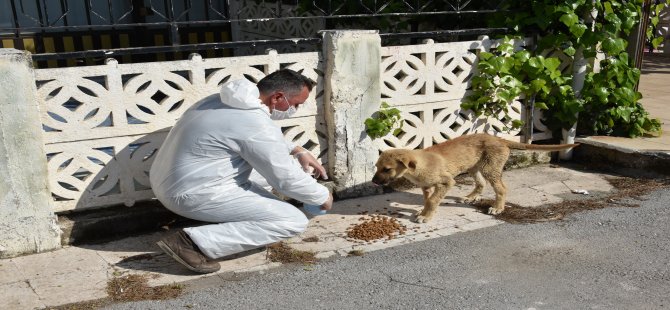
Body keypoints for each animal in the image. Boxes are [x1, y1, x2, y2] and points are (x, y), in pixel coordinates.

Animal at [372, 133, 576, 223]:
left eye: (387, 169)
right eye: (376, 167)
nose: (374, 182)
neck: (418, 167)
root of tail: (499, 139)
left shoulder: (446, 182)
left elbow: (433, 201)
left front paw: (425, 216)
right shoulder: (427, 186)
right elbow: (429, 200)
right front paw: (423, 212)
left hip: (490, 169)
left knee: (501, 189)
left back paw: (497, 207)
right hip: (474, 167)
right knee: (481, 184)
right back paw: (470, 197)